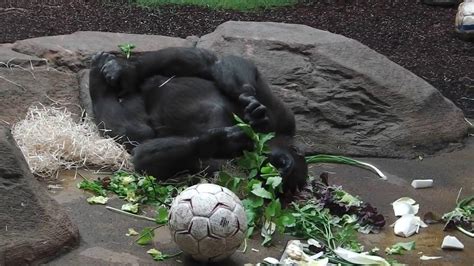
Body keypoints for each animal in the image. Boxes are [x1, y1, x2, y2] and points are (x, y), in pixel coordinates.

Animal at [89, 47, 308, 193]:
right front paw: (250, 107)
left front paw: (221, 140)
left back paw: (99, 85)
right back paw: (125, 71)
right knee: (208, 62)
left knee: (132, 132)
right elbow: (242, 71)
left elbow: (145, 159)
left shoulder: (228, 169)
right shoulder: (284, 117)